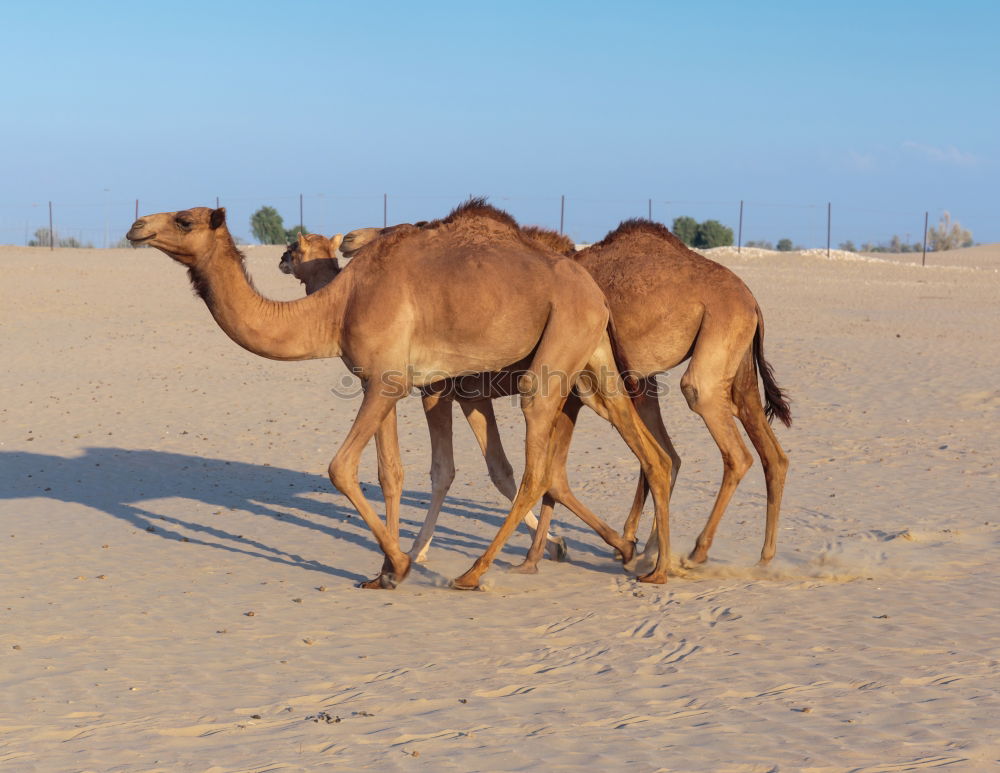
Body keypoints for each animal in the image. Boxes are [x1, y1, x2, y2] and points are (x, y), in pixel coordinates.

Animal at [123, 201, 672, 592]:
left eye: (185, 218)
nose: (136, 226)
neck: (336, 307)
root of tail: (592, 286)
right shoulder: (380, 383)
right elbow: (390, 473)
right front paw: (384, 569)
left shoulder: (391, 381)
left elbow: (341, 467)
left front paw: (404, 563)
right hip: (592, 358)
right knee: (651, 453)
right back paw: (648, 561)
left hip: (554, 356)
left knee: (539, 469)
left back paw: (477, 572)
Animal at [342, 217, 788, 572]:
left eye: (397, 231)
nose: (348, 238)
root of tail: (751, 299)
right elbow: (526, 472)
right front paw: (538, 554)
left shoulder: (511, 389)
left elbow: (535, 473)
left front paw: (537, 554)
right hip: (725, 365)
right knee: (756, 453)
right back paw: (748, 554)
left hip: (711, 346)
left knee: (725, 444)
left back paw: (693, 552)